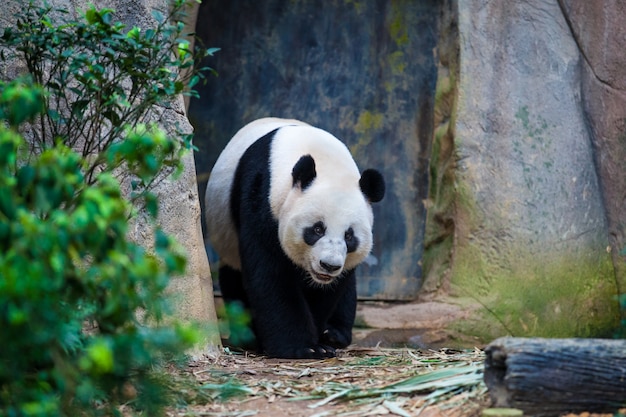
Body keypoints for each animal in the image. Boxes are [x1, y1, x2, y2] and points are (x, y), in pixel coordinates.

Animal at [205, 116, 382, 358]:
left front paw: (320, 340)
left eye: (349, 236)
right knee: (234, 280)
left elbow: (325, 292)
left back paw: (334, 333)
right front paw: (302, 347)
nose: (328, 265)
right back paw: (249, 336)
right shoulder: (262, 199)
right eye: (317, 229)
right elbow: (270, 274)